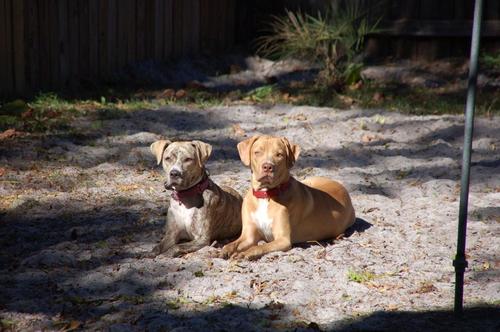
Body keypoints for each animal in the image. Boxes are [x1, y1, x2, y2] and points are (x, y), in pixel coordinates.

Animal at [220, 135, 356, 260]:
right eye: (257, 152)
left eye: (279, 154)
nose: (267, 167)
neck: (265, 195)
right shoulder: (248, 236)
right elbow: (232, 244)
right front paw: (224, 250)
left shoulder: (283, 240)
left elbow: (260, 247)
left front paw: (245, 253)